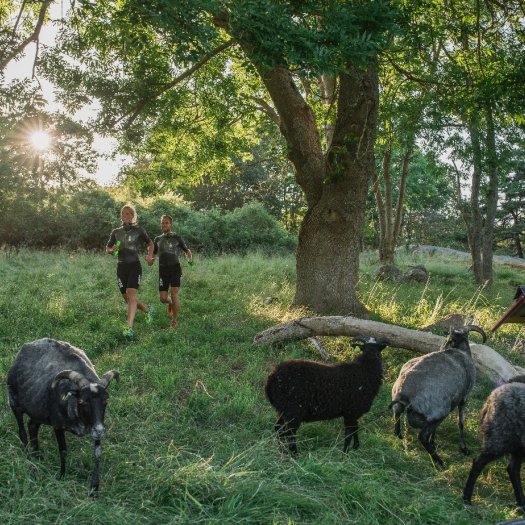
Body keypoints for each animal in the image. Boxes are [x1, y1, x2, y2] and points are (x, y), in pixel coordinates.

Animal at [7, 338, 118, 494]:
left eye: (105, 400)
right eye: (82, 401)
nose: (100, 430)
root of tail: (25, 347)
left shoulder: (94, 426)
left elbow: (97, 453)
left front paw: (94, 489)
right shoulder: (58, 425)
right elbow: (63, 451)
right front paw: (61, 476)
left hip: (38, 410)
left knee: (32, 426)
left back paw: (36, 455)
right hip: (14, 402)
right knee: (22, 431)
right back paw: (27, 457)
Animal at [388, 324, 488, 466]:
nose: (442, 347)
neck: (460, 351)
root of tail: (405, 392)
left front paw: (434, 443)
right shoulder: (464, 398)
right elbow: (461, 422)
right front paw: (464, 448)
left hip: (401, 405)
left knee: (397, 419)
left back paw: (400, 436)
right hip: (439, 412)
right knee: (422, 436)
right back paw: (438, 461)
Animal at [460, 374, 524, 510]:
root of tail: (491, 397)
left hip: (517, 445)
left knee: (513, 469)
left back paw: (522, 504)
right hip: (498, 439)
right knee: (478, 463)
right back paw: (467, 498)